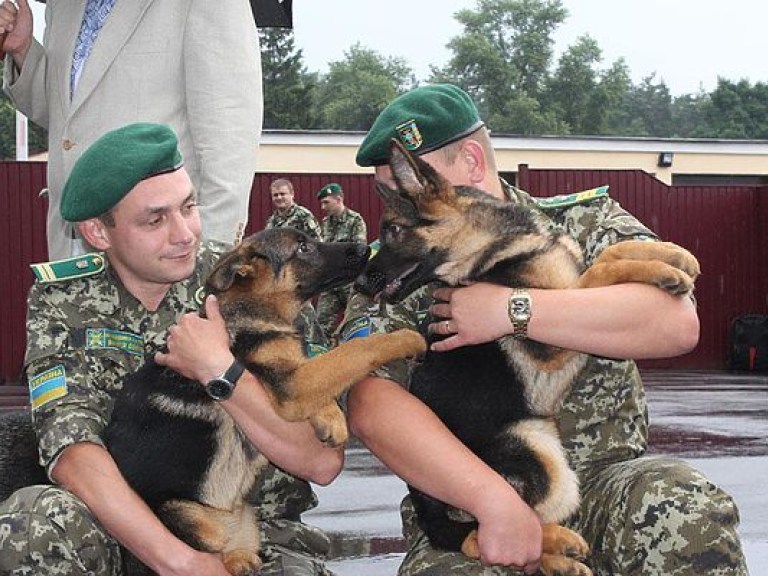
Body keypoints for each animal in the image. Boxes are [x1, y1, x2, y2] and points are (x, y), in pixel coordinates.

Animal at [103, 230, 426, 576]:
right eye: (303, 247)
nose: (366, 248)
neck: (253, 308)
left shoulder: (295, 377)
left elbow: (327, 369)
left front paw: (331, 418)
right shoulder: (293, 383)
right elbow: (356, 350)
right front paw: (407, 339)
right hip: (190, 521)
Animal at [356, 140, 704, 576]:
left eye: (394, 230)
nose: (358, 283)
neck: (500, 247)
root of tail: (424, 501)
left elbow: (609, 254)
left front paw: (671, 255)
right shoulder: (554, 329)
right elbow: (597, 276)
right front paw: (662, 270)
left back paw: (560, 558)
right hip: (541, 460)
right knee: (488, 533)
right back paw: (559, 546)